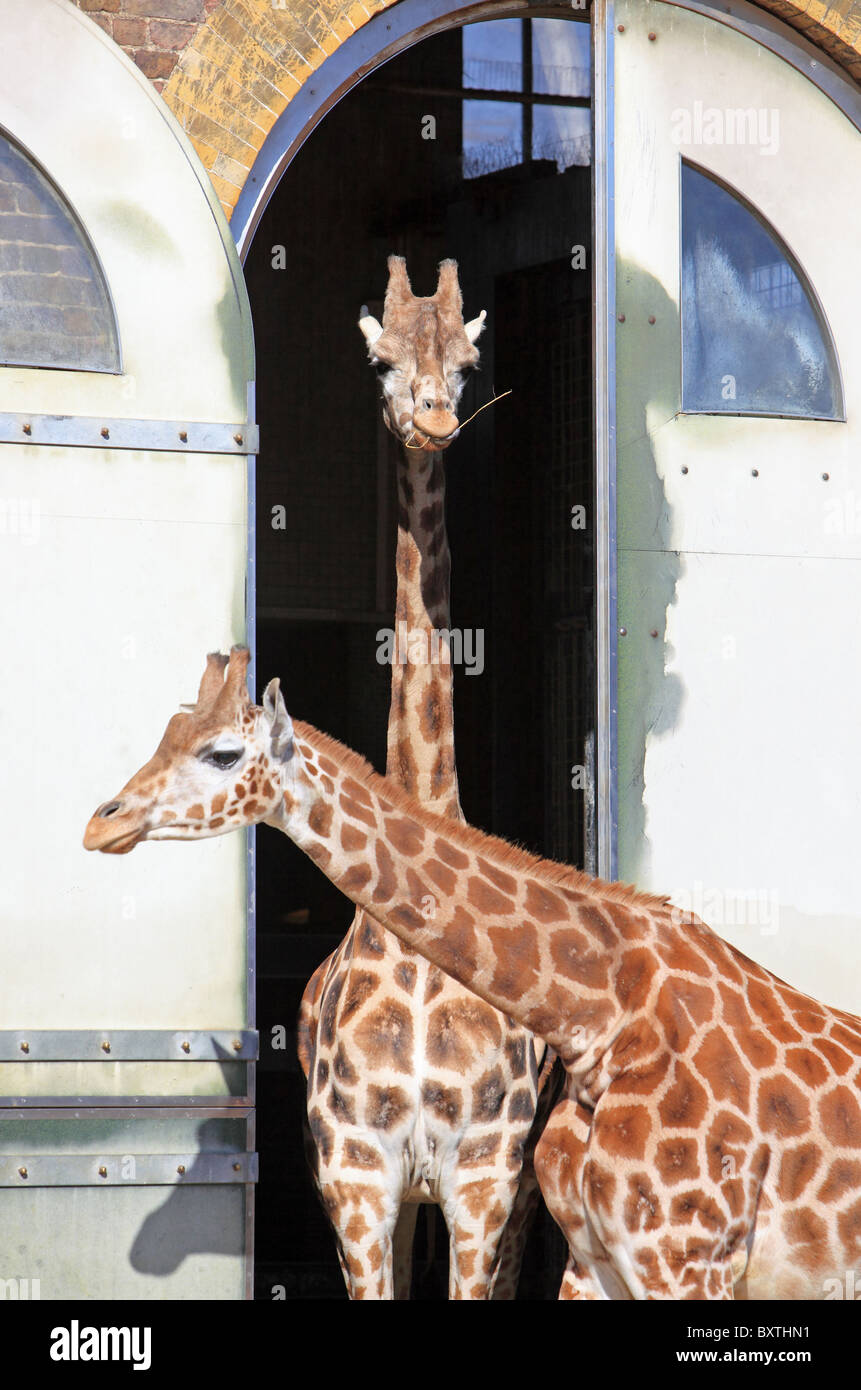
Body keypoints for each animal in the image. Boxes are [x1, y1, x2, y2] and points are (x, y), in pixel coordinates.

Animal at [85, 648, 861, 1299]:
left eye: (222, 754)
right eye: (165, 734)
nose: (101, 824)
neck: (600, 1018)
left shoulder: (682, 1257)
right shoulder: (590, 1260)